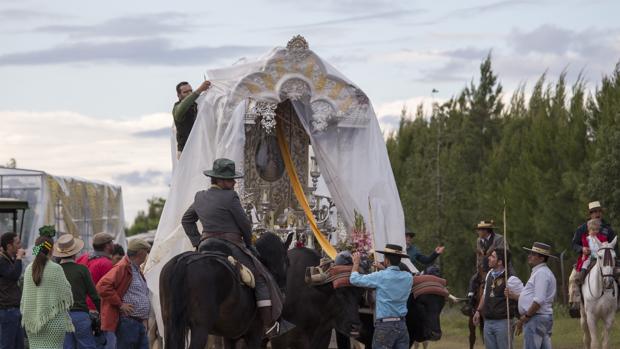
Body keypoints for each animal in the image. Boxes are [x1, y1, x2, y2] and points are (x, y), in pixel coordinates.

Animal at [161, 231, 294, 348]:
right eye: (287, 262)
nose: (284, 293)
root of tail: (185, 261)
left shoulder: (230, 336)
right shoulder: (254, 334)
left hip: (170, 325)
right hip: (200, 329)